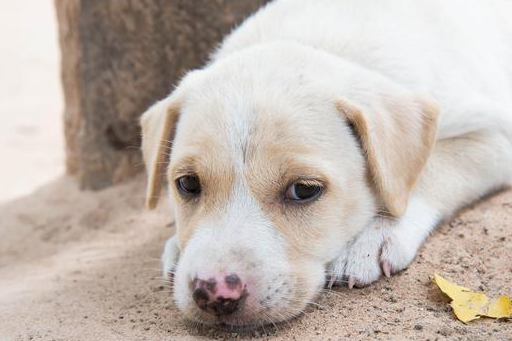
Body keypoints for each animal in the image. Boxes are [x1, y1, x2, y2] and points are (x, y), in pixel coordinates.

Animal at [139, 0, 512, 326]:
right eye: (188, 184)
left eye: (304, 190)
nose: (214, 293)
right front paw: (176, 247)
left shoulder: (493, 139)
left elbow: (429, 172)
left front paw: (375, 235)